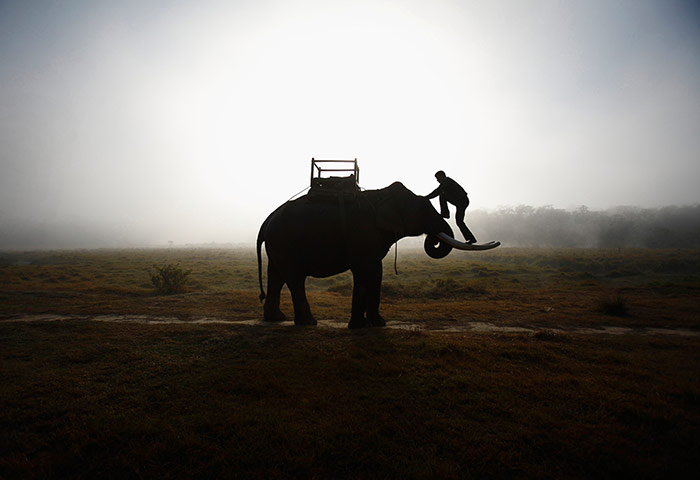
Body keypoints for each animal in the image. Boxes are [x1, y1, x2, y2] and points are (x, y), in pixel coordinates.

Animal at [256, 181, 477, 328]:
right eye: (423, 210)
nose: (433, 238)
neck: (382, 196)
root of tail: (266, 221)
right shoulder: (362, 234)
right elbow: (363, 272)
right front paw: (359, 327)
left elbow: (376, 272)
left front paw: (378, 324)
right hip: (286, 244)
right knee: (295, 279)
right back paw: (308, 323)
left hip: (278, 246)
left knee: (276, 276)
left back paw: (276, 319)